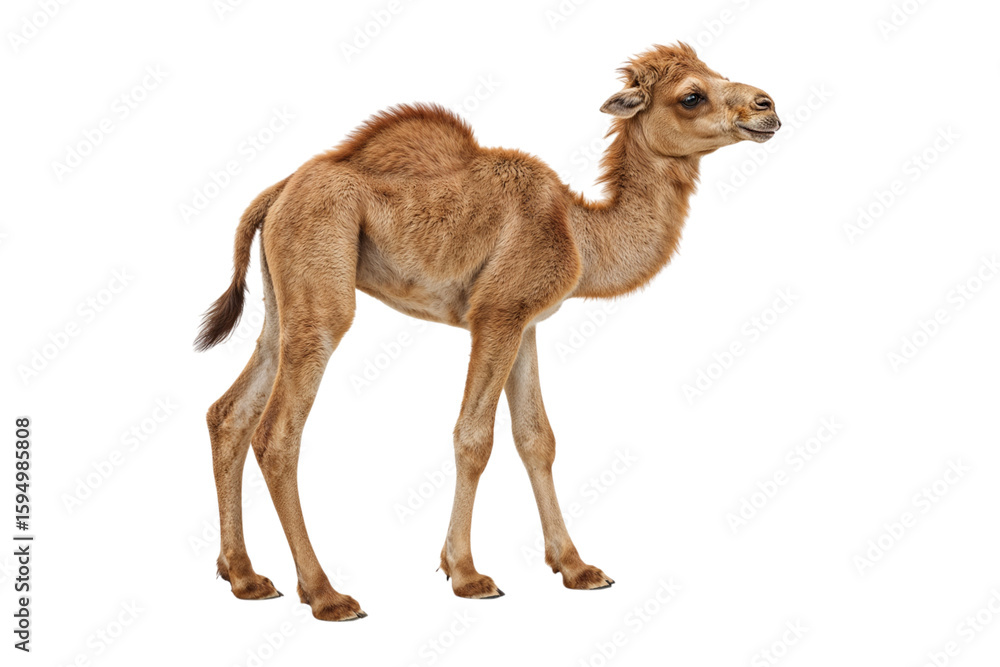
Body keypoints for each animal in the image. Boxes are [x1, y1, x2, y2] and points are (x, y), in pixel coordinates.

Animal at [196, 43, 780, 621]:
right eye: (691, 96)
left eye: (719, 72)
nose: (766, 106)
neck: (579, 233)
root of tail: (275, 194)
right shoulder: (496, 314)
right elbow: (474, 437)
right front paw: (467, 574)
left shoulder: (526, 324)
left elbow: (537, 437)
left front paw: (576, 568)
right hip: (324, 294)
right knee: (278, 433)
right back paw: (326, 595)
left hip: (284, 305)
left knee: (229, 412)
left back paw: (245, 577)